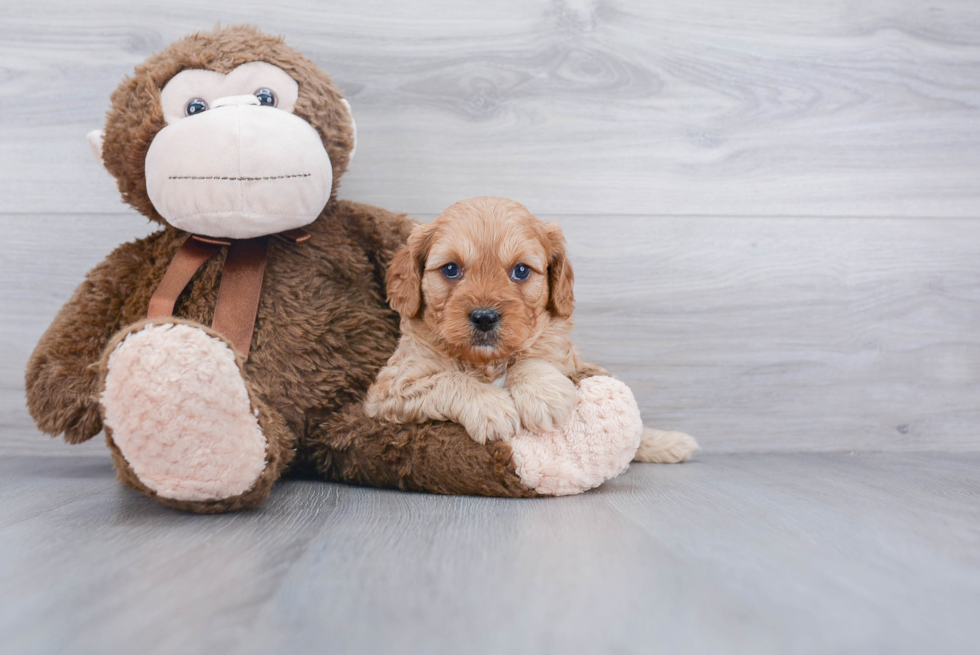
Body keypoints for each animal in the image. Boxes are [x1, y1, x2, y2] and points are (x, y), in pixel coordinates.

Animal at [368, 197, 696, 464]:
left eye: (521, 270)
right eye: (450, 269)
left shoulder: (564, 355)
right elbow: (446, 380)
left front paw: (543, 396)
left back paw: (672, 443)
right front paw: (490, 407)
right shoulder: (388, 391)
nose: (484, 317)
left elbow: (534, 356)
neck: (487, 362)